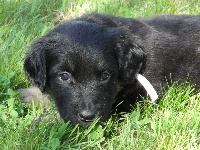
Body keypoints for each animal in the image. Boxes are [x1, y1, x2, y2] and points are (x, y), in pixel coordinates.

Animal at [23, 12, 200, 126]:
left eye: (105, 76)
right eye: (64, 76)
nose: (88, 117)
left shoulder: (138, 97)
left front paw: (39, 124)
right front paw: (30, 94)